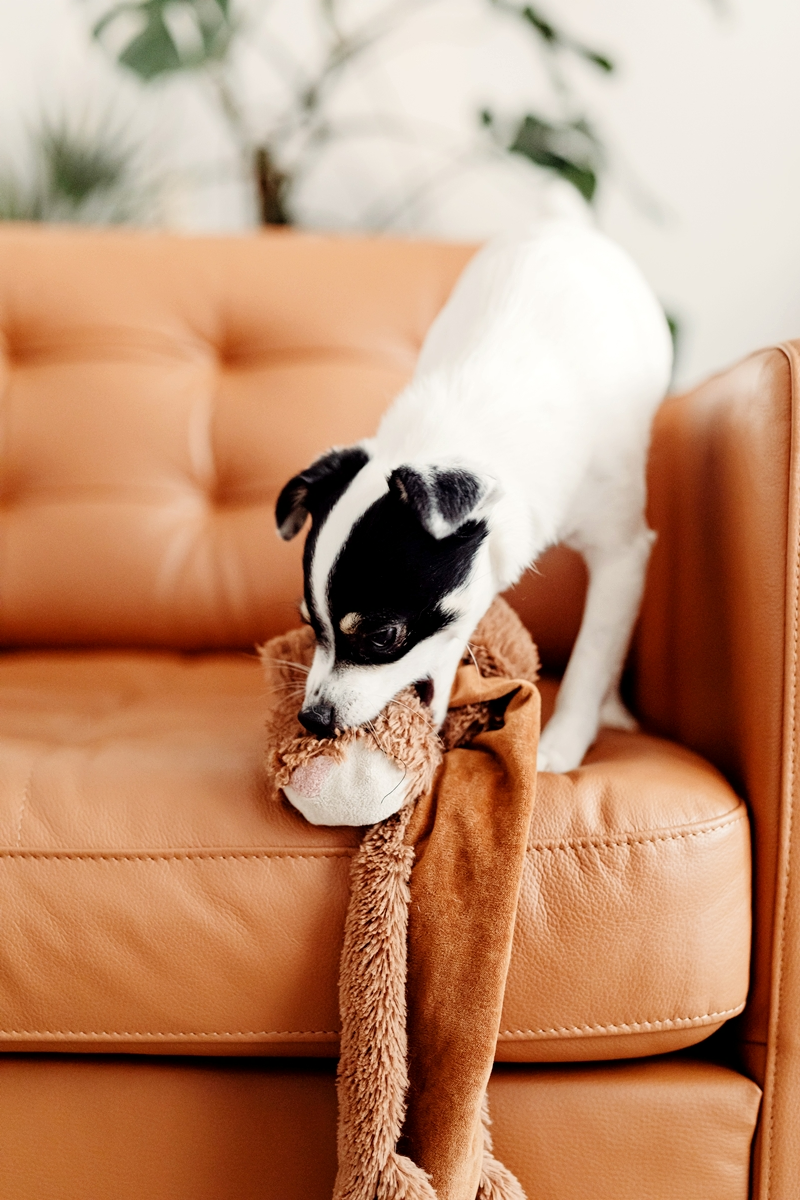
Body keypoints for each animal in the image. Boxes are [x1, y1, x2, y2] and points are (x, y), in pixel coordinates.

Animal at [275, 220, 671, 772]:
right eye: (307, 624)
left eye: (382, 637)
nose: (313, 719)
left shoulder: (622, 552)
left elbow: (593, 651)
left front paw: (561, 745)